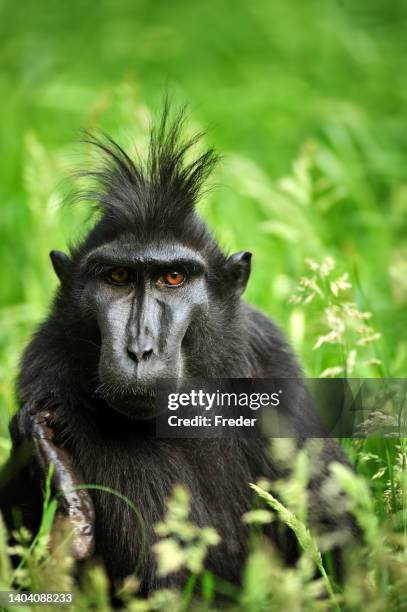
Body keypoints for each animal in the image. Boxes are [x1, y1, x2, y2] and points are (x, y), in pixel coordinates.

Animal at [0, 107, 354, 596]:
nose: (139, 349)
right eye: (117, 277)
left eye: (173, 278)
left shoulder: (271, 362)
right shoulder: (48, 374)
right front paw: (59, 477)